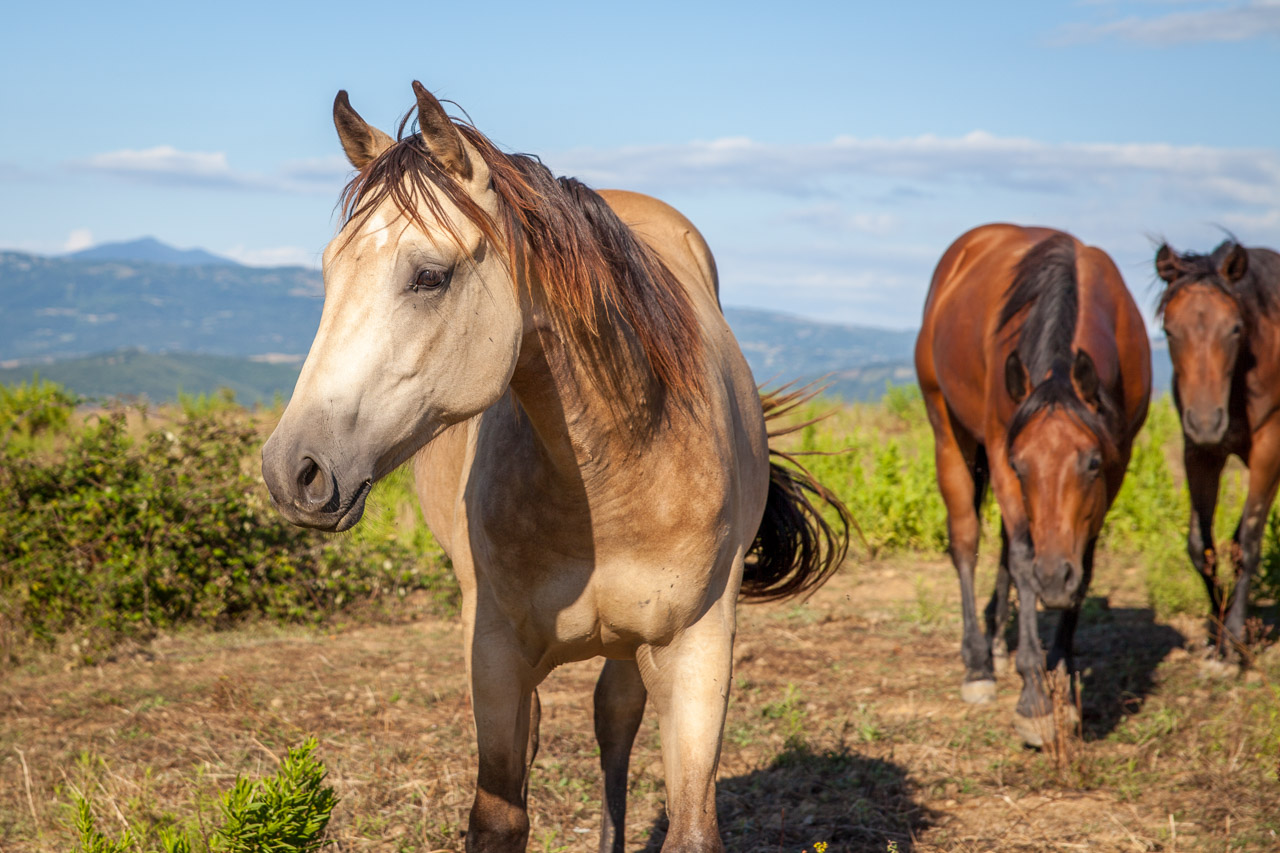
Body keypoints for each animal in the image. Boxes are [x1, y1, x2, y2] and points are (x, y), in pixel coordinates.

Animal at [260, 82, 850, 853]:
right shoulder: (494, 651)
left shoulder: (699, 647)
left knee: (615, 719)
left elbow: (690, 821)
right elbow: (499, 814)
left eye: (429, 276)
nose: (292, 469)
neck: (618, 468)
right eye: (331, 271)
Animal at [915, 224, 1151, 745]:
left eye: (1091, 462)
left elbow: (1084, 562)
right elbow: (1023, 558)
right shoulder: (1002, 449)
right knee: (968, 540)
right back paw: (979, 663)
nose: (1053, 579)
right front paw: (1035, 699)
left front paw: (1061, 675)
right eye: (1021, 466)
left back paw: (998, 644)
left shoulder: (1118, 462)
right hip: (947, 431)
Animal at [1155, 239, 1280, 659]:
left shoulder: (1269, 451)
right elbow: (1201, 546)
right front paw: (1218, 627)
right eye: (1169, 330)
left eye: (1235, 328)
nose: (1208, 422)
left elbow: (1248, 543)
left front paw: (1236, 638)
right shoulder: (1200, 454)